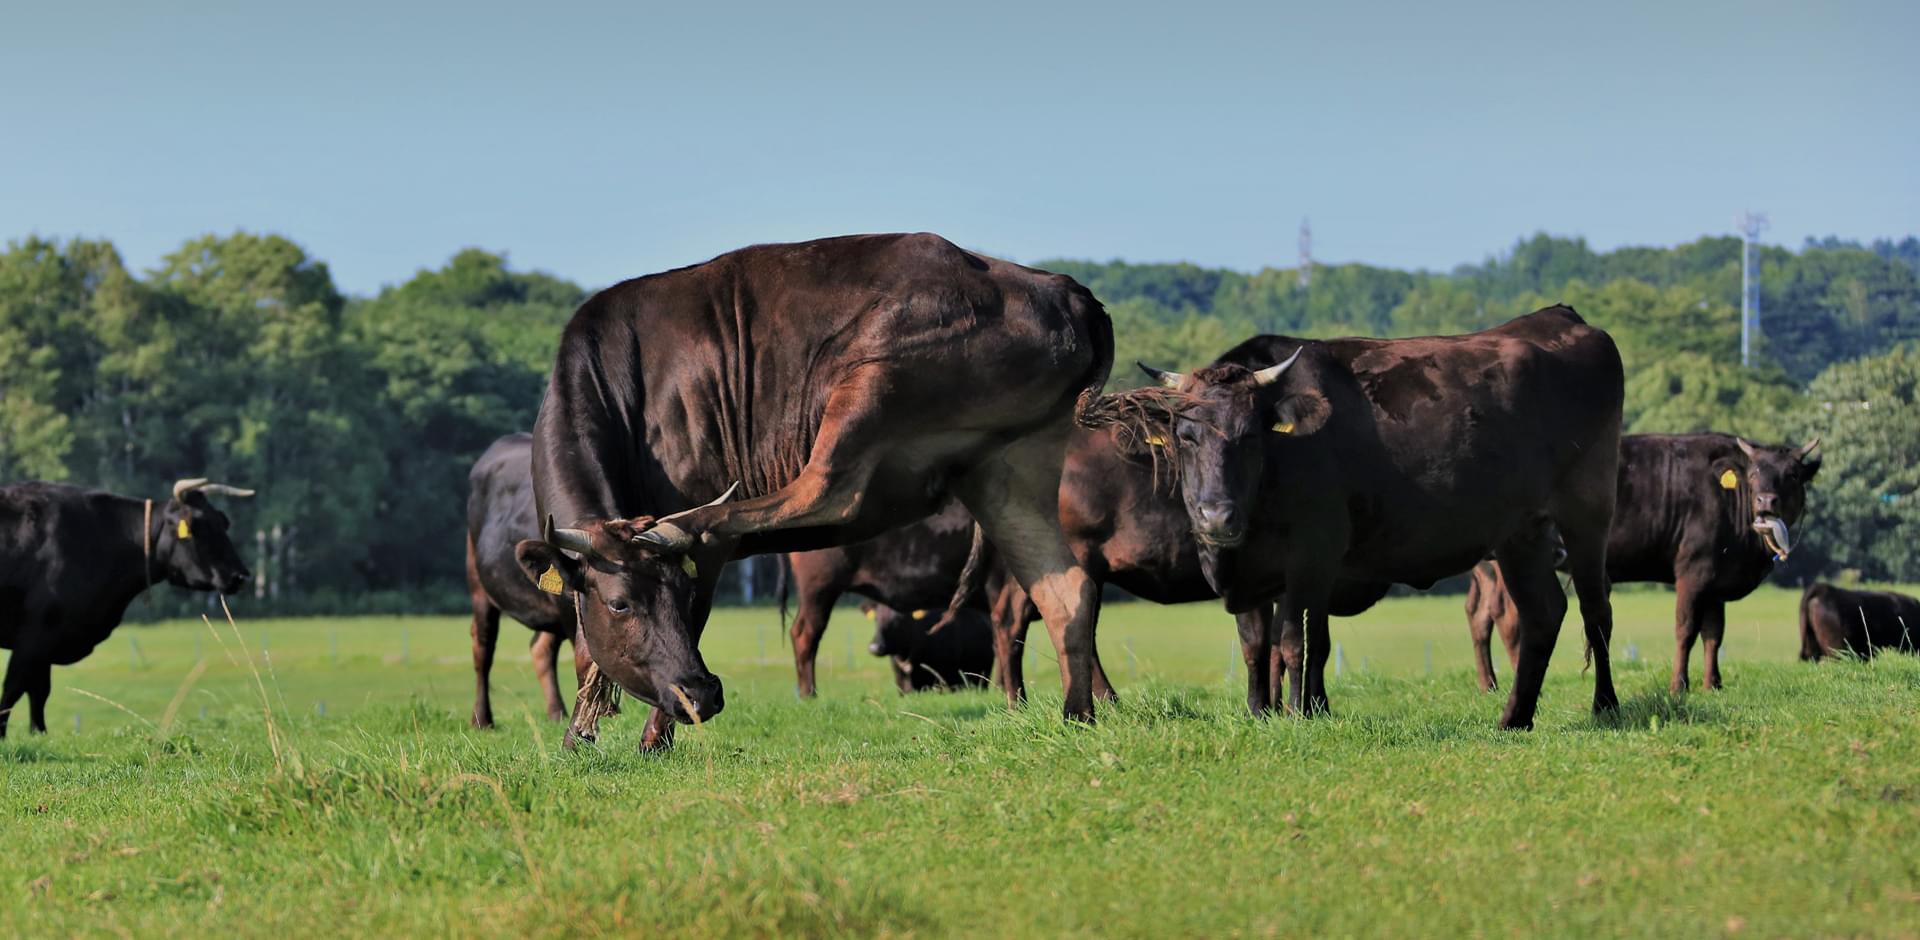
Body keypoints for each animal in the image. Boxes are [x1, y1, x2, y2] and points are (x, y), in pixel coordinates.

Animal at [1, 481, 253, 736]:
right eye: (197, 526)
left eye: (223, 522)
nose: (240, 576)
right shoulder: (34, 636)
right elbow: (14, 690)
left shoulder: (46, 640)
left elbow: (38, 693)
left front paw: (39, 734)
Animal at [1128, 305, 1628, 728]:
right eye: (1186, 435)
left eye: (1250, 435)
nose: (1217, 516)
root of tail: (1559, 316)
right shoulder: (1250, 570)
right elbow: (1255, 646)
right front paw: (1260, 713)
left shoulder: (1313, 558)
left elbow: (1298, 642)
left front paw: (1301, 714)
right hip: (1521, 532)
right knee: (1543, 612)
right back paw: (1514, 718)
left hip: (1589, 509)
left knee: (1595, 610)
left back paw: (1605, 706)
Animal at [1459, 431, 1820, 690]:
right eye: (1755, 472)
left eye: (1792, 474)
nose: (1766, 502)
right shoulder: (1693, 570)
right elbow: (1686, 628)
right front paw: (1679, 685)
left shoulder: (1716, 578)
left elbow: (1714, 633)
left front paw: (1712, 684)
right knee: (1507, 618)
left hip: (1487, 569)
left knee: (1479, 616)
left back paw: (1488, 684)